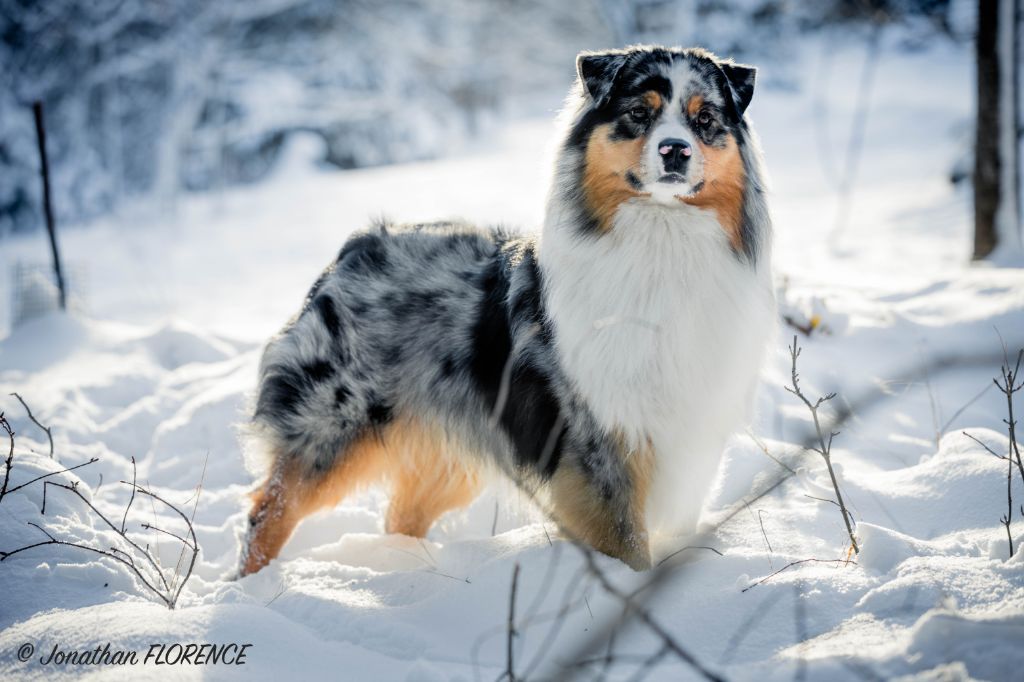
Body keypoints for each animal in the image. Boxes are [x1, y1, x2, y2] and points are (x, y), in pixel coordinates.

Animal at [235, 43, 770, 573]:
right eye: (640, 113)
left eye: (704, 120)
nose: (675, 149)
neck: (662, 240)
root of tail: (354, 247)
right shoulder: (597, 438)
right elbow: (627, 544)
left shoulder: (693, 433)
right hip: (333, 427)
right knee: (271, 509)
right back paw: (252, 584)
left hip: (447, 453)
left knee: (400, 515)